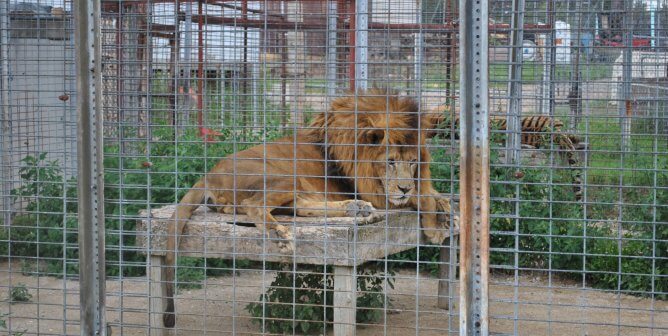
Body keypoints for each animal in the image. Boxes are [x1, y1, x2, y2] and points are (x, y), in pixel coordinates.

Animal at [163, 88, 454, 326]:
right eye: (391, 161)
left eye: (413, 162)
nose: (404, 188)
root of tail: (208, 174)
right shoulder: (373, 189)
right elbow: (422, 197)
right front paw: (435, 226)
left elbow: (428, 192)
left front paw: (445, 208)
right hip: (283, 176)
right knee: (253, 205)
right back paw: (281, 234)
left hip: (292, 186)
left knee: (298, 207)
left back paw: (357, 209)